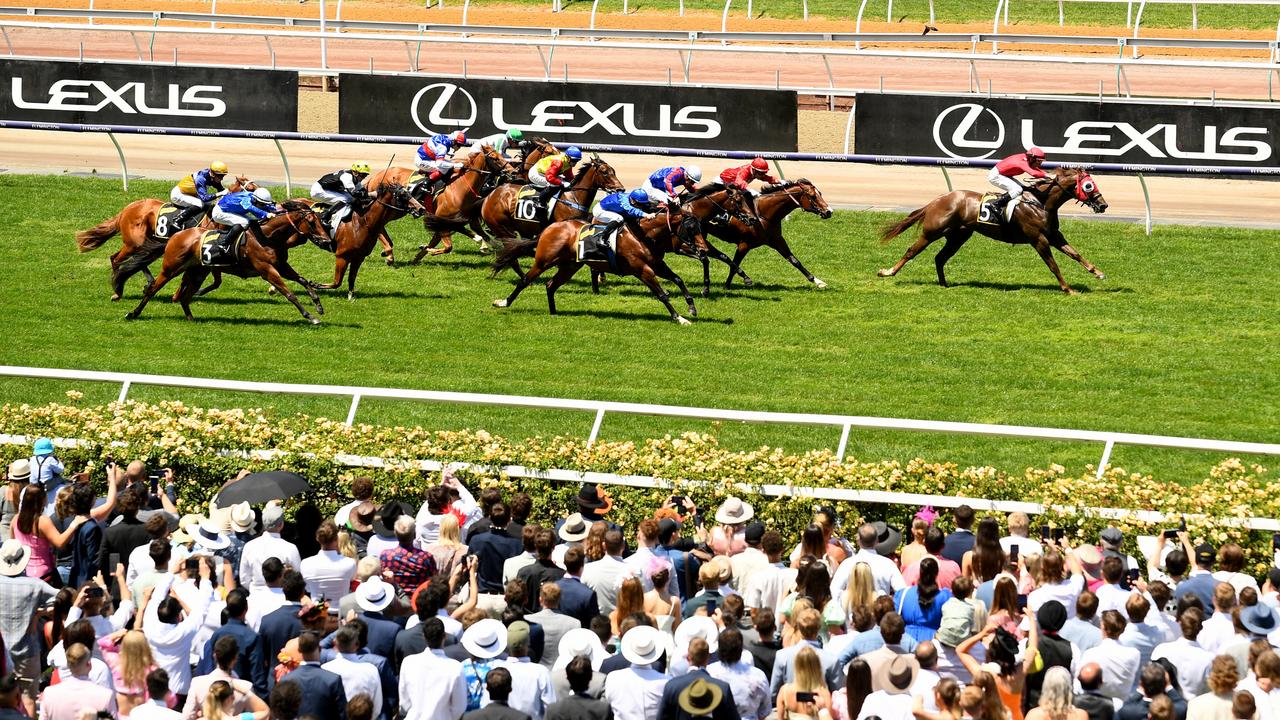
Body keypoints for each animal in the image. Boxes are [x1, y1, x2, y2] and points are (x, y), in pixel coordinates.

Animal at [76, 176, 247, 299]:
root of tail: (127, 208)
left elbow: (217, 281)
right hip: (135, 242)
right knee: (118, 259)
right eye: (249, 188)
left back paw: (144, 282)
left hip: (142, 241)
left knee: (123, 258)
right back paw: (118, 289)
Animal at [124, 198, 330, 322]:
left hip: (198, 271)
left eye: (320, 221)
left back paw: (191, 318)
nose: (327, 240)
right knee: (153, 289)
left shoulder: (281, 265)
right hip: (171, 267)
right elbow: (288, 293)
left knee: (185, 295)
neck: (268, 236)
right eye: (311, 222)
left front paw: (318, 305)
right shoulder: (266, 269)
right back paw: (133, 313)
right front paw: (310, 316)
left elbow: (303, 281)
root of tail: (177, 235)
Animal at [483, 155, 624, 275]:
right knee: (513, 254)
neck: (573, 197)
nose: (620, 189)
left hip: (521, 228)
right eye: (604, 172)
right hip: (502, 229)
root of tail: (490, 195)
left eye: (614, 171)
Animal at [488, 203, 711, 324]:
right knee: (525, 280)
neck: (644, 235)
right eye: (691, 228)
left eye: (700, 227)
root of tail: (549, 228)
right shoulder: (642, 269)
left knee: (551, 285)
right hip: (544, 261)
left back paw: (554, 312)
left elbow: (678, 279)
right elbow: (662, 294)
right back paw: (503, 302)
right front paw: (679, 318)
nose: (704, 250)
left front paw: (692, 308)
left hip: (570, 266)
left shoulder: (657, 265)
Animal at [880, 166, 1111, 293]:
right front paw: (1068, 289)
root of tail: (938, 199)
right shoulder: (1038, 239)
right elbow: (1053, 265)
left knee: (940, 257)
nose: (1103, 205)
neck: (1041, 202)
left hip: (959, 236)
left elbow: (1075, 254)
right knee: (912, 251)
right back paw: (888, 271)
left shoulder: (1053, 235)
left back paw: (944, 284)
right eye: (1089, 186)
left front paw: (1098, 273)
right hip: (932, 232)